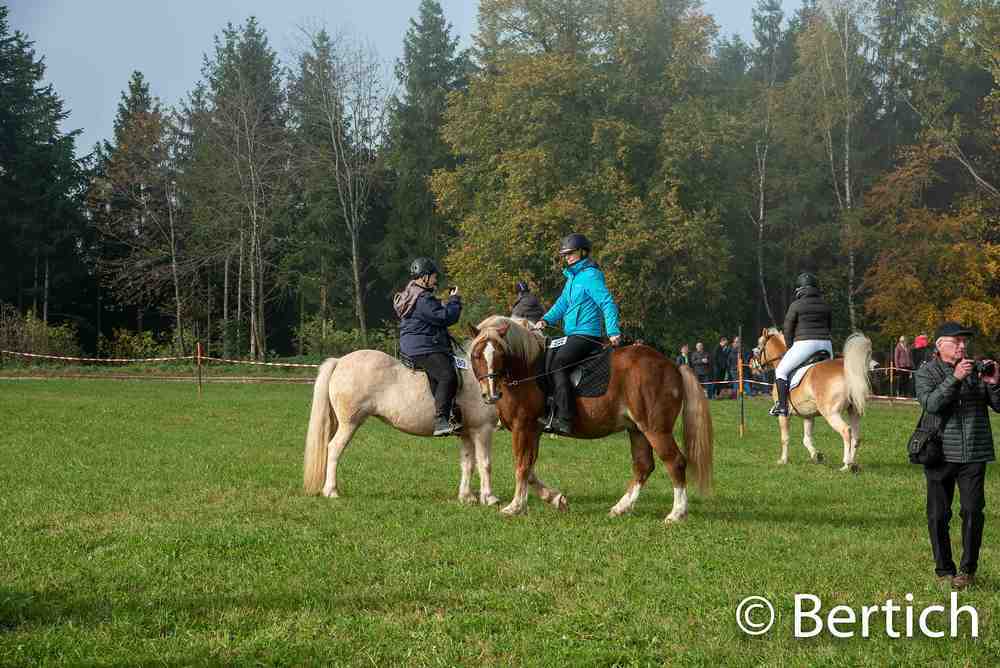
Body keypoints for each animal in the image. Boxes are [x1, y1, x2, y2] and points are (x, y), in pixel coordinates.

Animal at [303, 349, 501, 506]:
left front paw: (466, 497)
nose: (492, 395)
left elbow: (468, 463)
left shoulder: (467, 433)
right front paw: (489, 498)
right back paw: (331, 491)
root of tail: (339, 361)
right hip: (349, 424)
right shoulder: (482, 430)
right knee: (334, 449)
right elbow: (485, 463)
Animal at [467, 316, 714, 522]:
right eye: (476, 355)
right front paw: (556, 499)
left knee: (675, 462)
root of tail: (673, 366)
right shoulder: (533, 431)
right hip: (637, 430)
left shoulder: (523, 427)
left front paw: (515, 507)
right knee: (644, 466)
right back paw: (621, 507)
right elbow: (529, 469)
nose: (491, 394)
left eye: (500, 354)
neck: (527, 369)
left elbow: (521, 466)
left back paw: (676, 513)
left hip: (655, 429)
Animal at [752, 328, 872, 471]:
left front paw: (783, 460)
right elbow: (806, 439)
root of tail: (847, 369)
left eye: (758, 348)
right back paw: (853, 464)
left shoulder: (783, 415)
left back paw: (846, 465)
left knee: (846, 431)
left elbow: (785, 438)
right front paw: (816, 455)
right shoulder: (808, 416)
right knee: (856, 436)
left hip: (831, 413)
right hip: (854, 411)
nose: (753, 366)